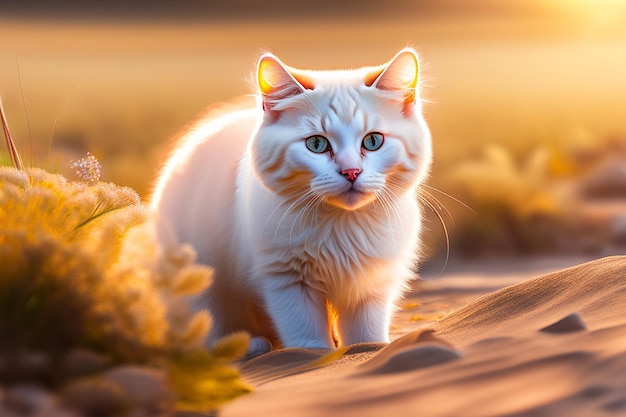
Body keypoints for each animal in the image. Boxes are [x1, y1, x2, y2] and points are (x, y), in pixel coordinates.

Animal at [151, 48, 432, 354]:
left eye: (373, 142)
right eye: (317, 145)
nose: (351, 171)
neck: (341, 226)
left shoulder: (370, 285)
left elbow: (365, 336)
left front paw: (369, 347)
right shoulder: (286, 280)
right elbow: (307, 339)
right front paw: (316, 353)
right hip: (203, 284)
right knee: (206, 329)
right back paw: (249, 345)